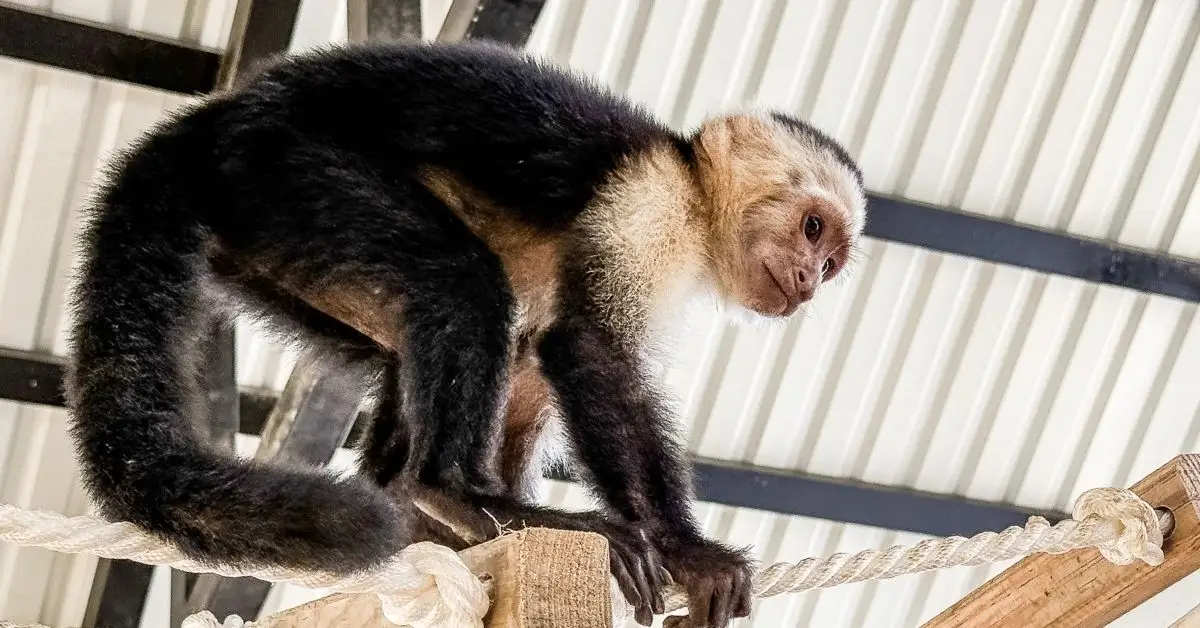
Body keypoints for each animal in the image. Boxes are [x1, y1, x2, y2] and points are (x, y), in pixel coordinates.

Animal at [63, 39, 866, 628]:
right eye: (812, 227)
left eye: (831, 262)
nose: (807, 281)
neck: (695, 197)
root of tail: (215, 118)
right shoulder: (648, 203)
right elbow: (586, 349)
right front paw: (688, 549)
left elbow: (539, 368)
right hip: (281, 169)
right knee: (461, 280)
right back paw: (451, 491)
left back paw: (424, 503)